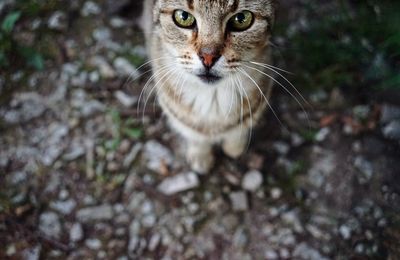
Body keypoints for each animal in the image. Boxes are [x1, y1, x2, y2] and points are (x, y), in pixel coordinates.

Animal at [140, 0, 276, 175]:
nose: (208, 57)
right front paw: (200, 155)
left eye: (241, 18)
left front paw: (235, 146)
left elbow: (240, 126)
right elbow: (194, 134)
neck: (213, 98)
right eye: (183, 17)